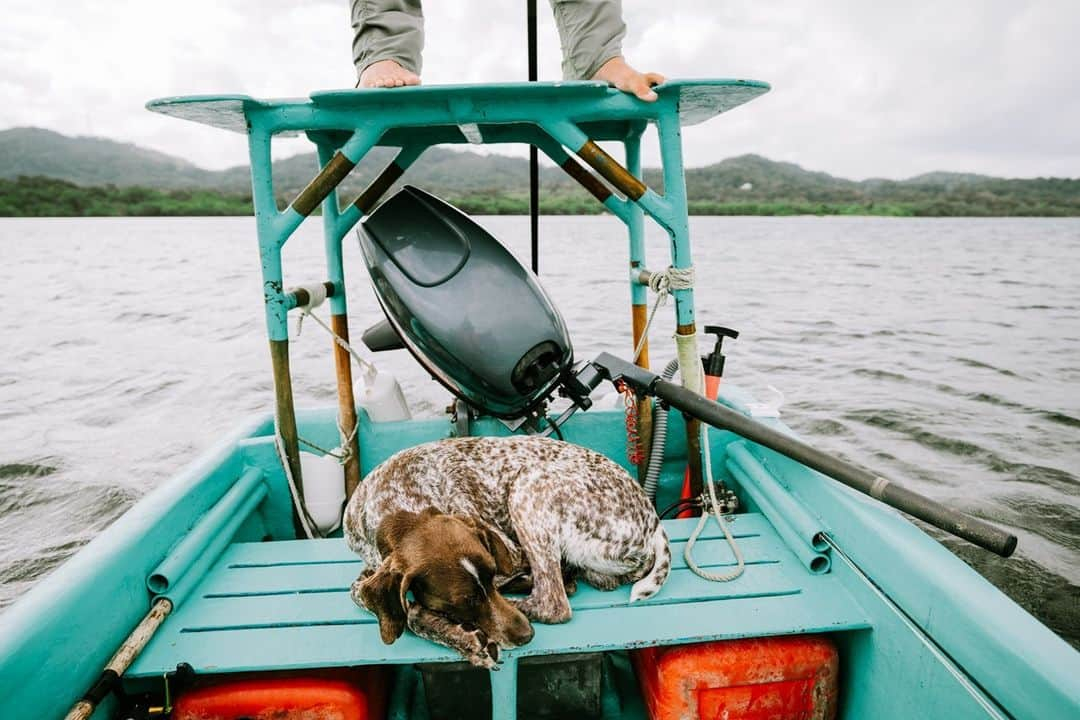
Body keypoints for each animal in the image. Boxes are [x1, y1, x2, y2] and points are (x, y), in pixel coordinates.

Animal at [343, 431, 665, 669]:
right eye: (466, 600)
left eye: (488, 575)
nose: (526, 635)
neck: (401, 509)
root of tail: (654, 523)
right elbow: (363, 592)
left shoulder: (508, 551)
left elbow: (412, 611)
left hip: (529, 487)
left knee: (553, 602)